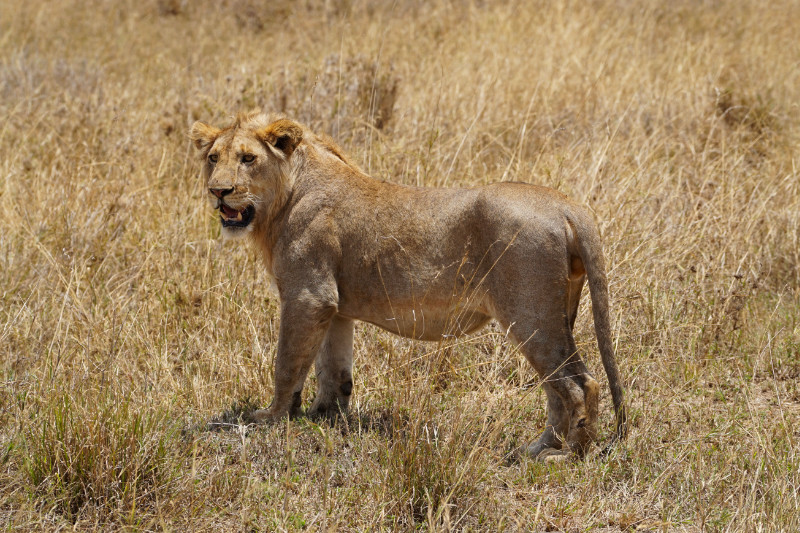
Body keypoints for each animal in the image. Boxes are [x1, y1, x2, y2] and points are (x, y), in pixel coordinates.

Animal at [190, 111, 627, 459]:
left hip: (529, 313)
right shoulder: (333, 306)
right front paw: (324, 418)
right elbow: (334, 370)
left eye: (248, 159)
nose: (218, 191)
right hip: (556, 312)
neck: (284, 198)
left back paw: (563, 455)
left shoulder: (307, 295)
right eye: (213, 159)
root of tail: (567, 205)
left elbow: (287, 363)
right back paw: (537, 449)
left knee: (578, 385)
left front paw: (271, 417)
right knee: (562, 387)